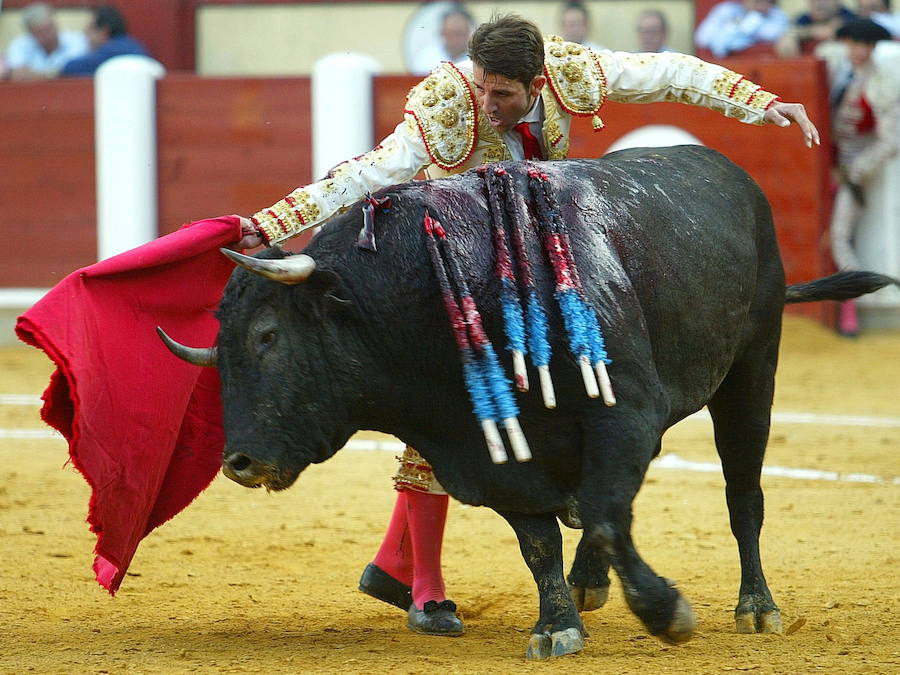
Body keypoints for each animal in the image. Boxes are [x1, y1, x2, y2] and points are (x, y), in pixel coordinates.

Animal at [160, 145, 892, 656]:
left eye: (267, 336)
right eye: (219, 348)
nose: (238, 462)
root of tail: (729, 172)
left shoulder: (625, 413)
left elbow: (605, 514)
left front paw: (665, 612)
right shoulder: (492, 451)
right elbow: (541, 540)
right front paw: (558, 623)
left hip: (752, 367)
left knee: (741, 492)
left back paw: (757, 608)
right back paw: (590, 582)